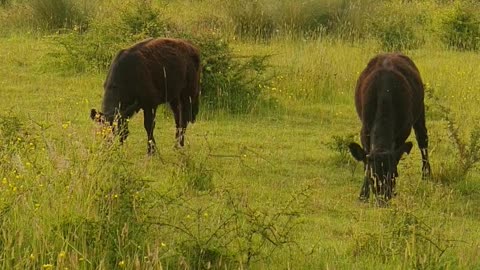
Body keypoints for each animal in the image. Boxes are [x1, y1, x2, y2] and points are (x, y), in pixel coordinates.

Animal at [348, 52, 432, 201]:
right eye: (373, 176)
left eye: (391, 175)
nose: (383, 197)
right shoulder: (365, 130)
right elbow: (365, 161)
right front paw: (363, 194)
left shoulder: (403, 132)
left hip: (420, 111)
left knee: (422, 139)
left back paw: (426, 173)